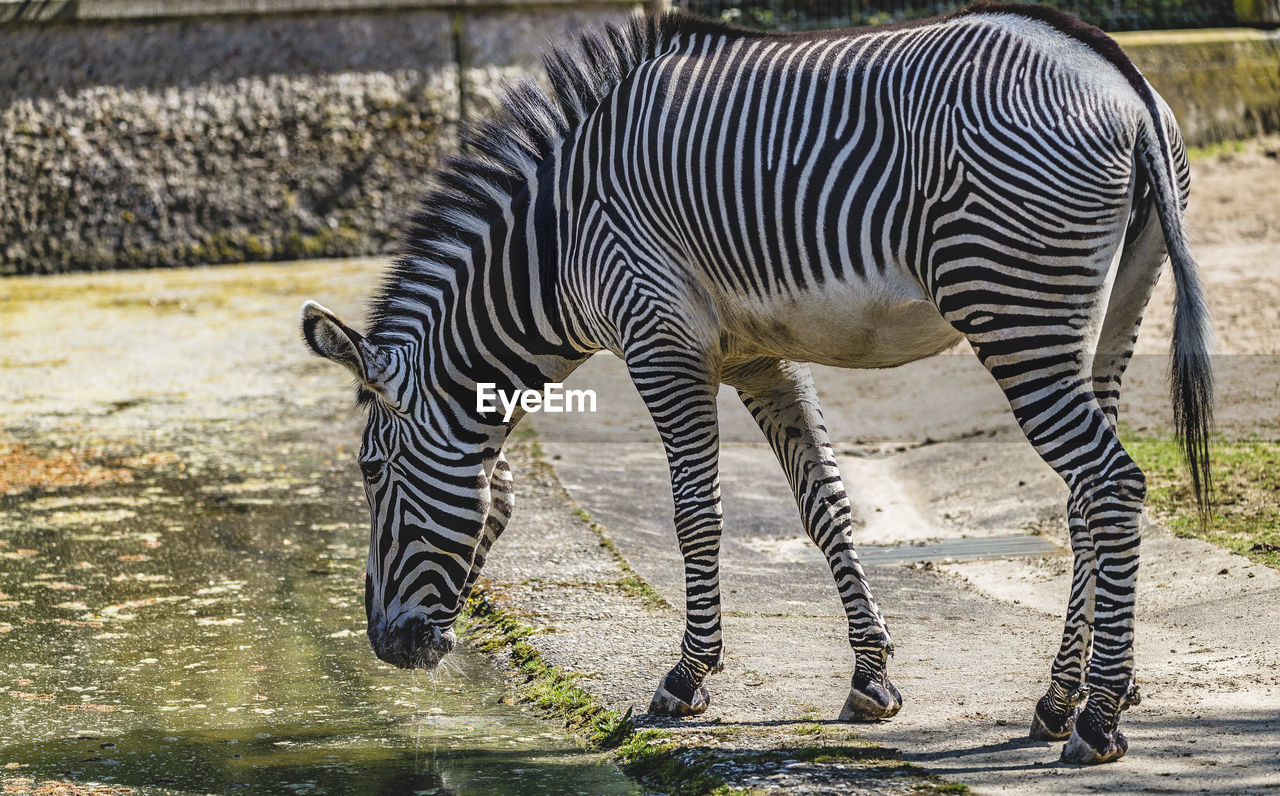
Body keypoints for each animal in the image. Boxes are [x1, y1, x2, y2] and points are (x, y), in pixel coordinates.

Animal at [299, 4, 1208, 767]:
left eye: (371, 471)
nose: (384, 647)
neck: (554, 247)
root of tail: (1120, 79)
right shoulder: (758, 355)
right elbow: (823, 502)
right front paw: (870, 678)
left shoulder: (659, 342)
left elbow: (696, 514)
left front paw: (686, 679)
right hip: (1113, 308)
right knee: (1084, 496)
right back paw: (1064, 696)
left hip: (1015, 310)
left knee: (1111, 483)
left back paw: (1098, 720)